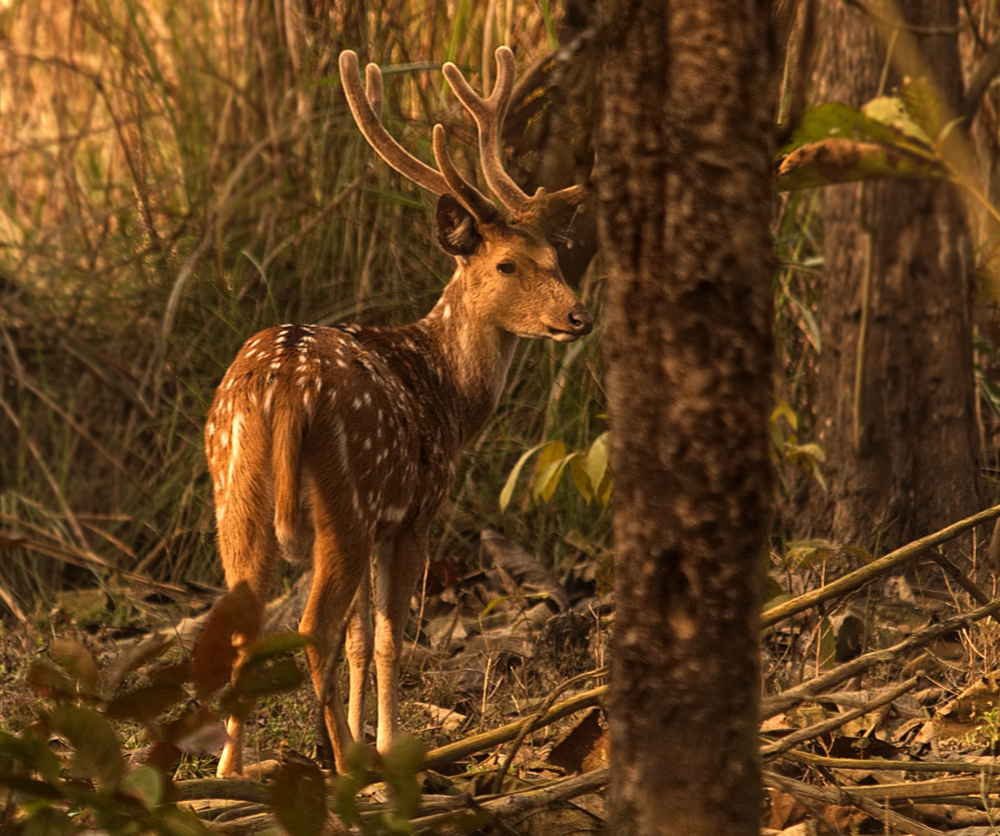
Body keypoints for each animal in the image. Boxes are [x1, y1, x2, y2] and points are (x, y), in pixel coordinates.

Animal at [206, 46, 593, 778]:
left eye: (556, 256)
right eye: (507, 264)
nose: (578, 317)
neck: (449, 396)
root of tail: (281, 384)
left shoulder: (382, 519)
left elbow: (361, 639)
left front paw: (364, 735)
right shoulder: (416, 510)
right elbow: (387, 637)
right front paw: (386, 744)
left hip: (235, 492)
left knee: (247, 627)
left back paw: (230, 771)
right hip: (346, 497)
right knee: (312, 629)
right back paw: (340, 761)